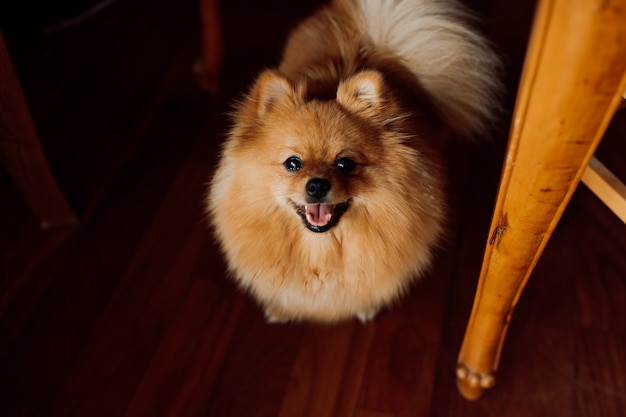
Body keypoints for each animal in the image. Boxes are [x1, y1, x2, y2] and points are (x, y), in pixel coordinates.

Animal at [208, 0, 502, 322]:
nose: (317, 185)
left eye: (345, 164)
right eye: (292, 163)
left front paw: (366, 306)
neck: (321, 250)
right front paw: (281, 308)